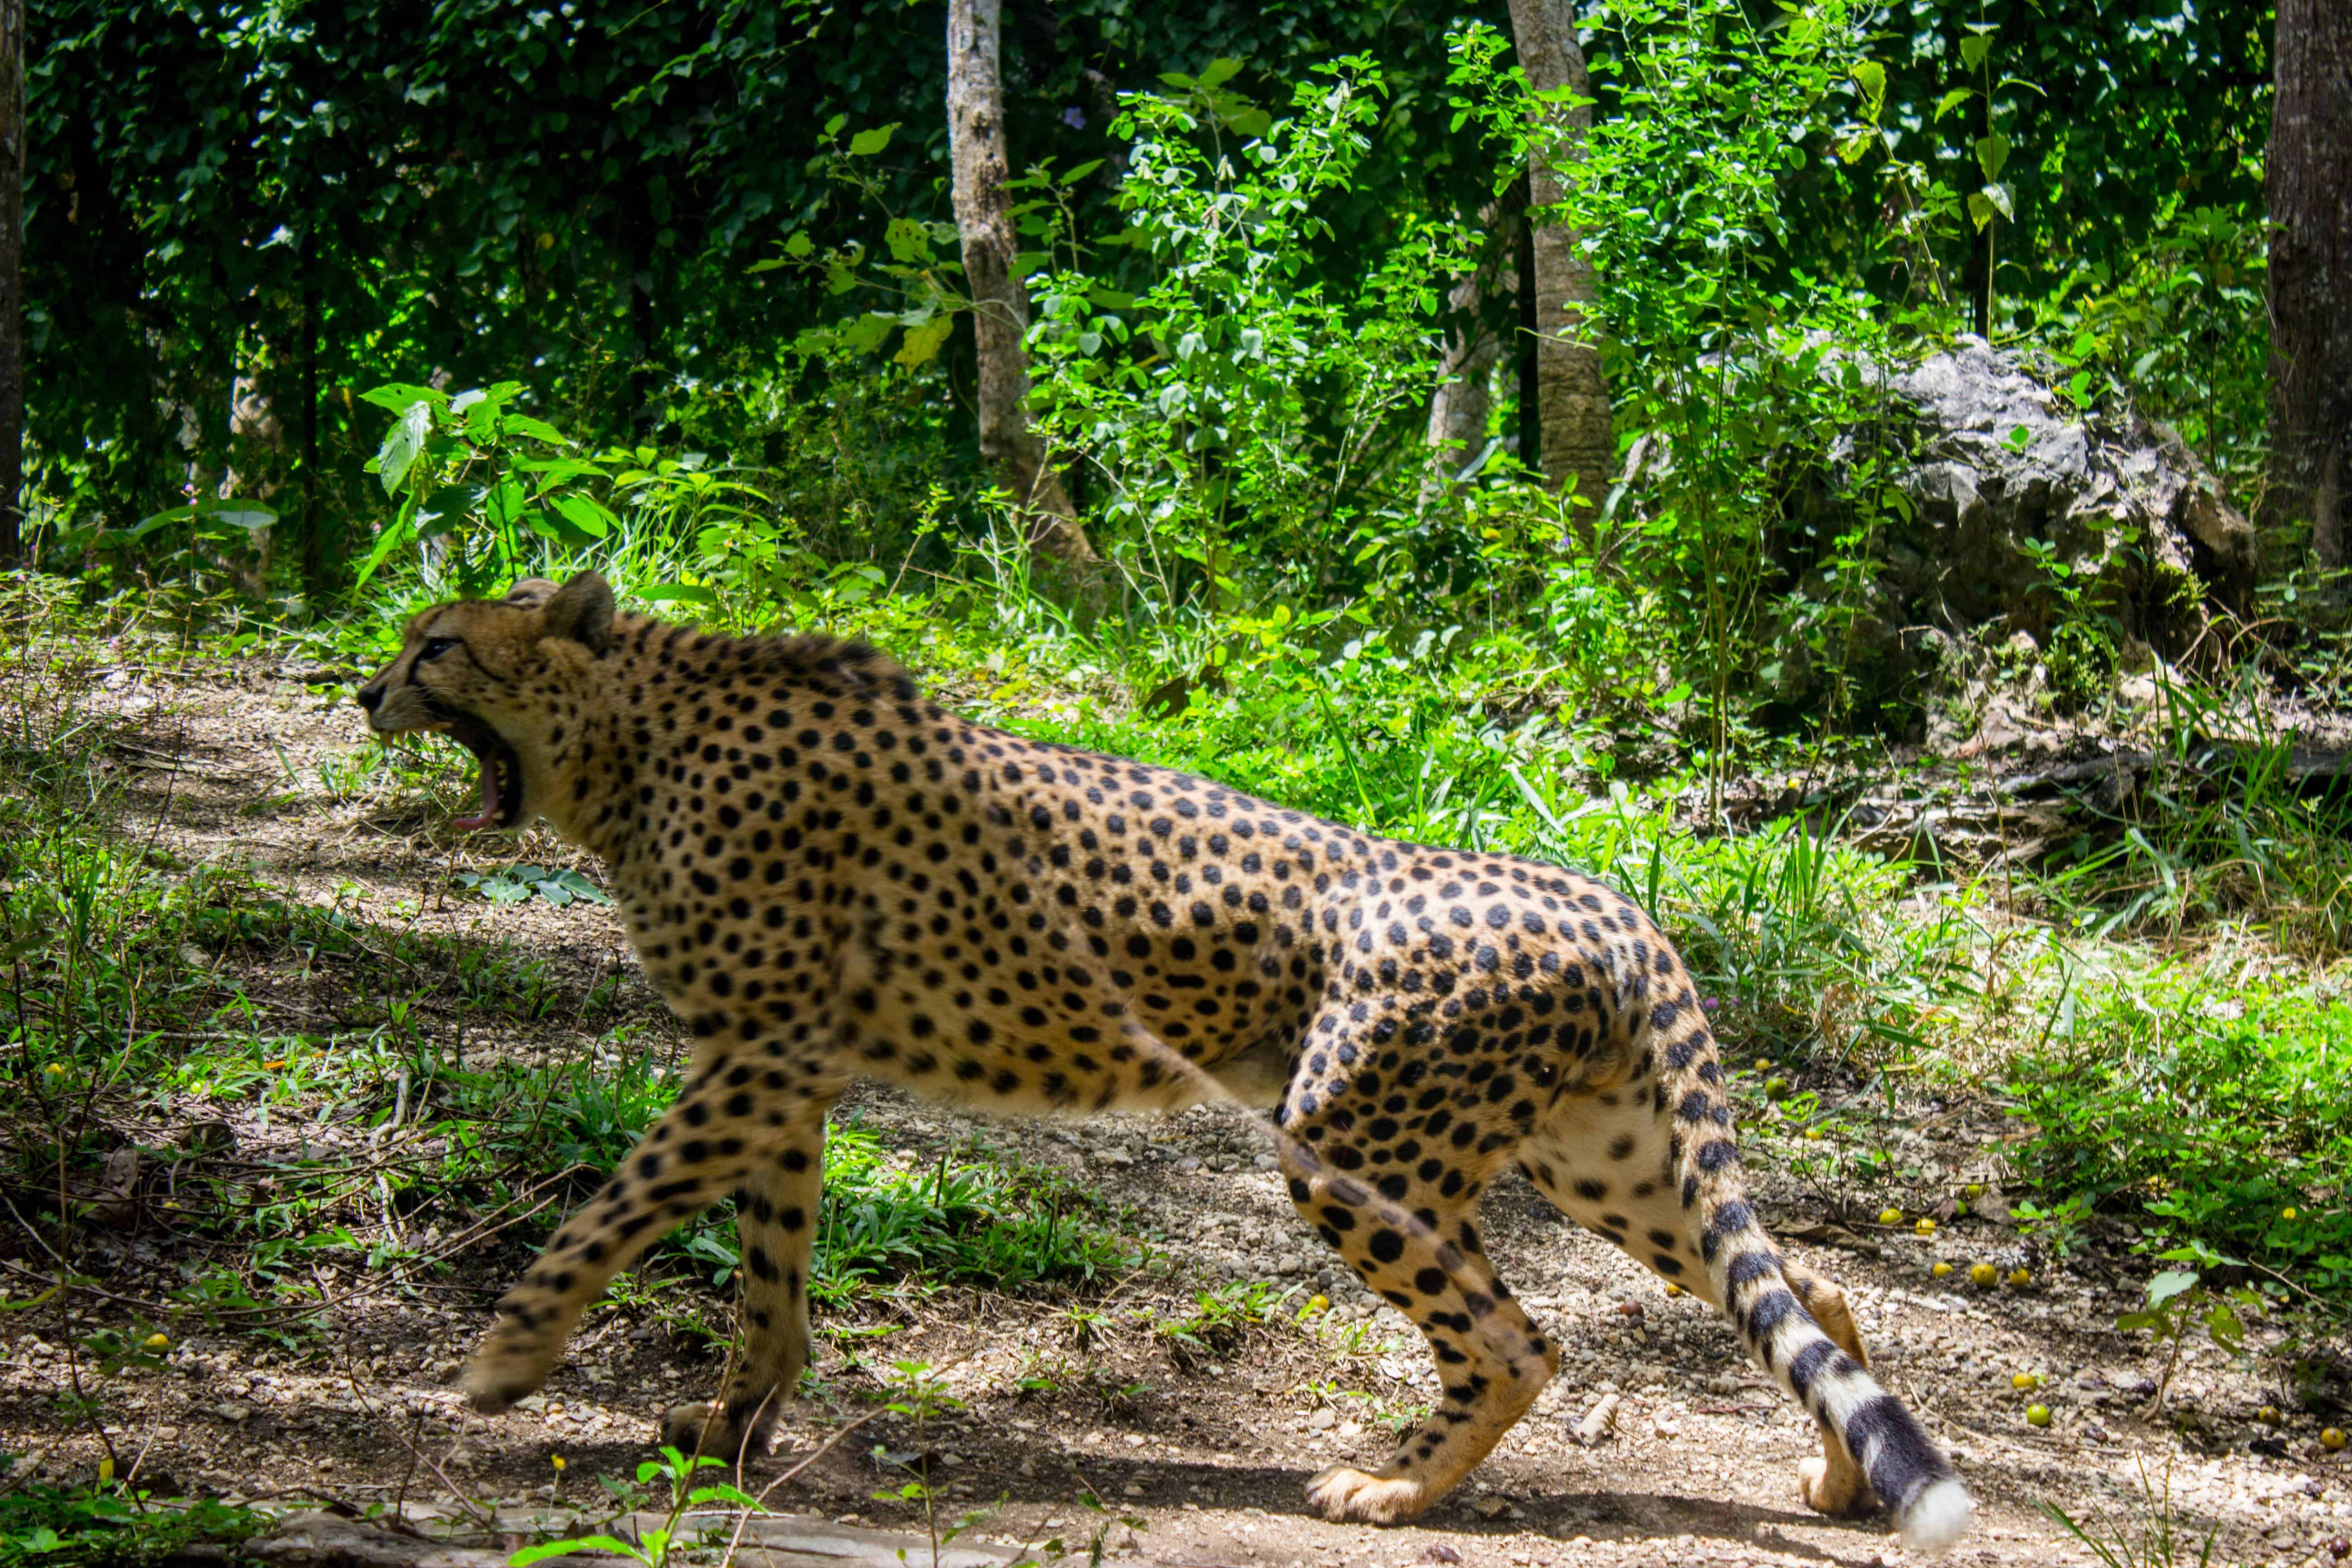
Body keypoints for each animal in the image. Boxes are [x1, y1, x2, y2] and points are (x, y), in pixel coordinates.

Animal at [348, 576, 1966, 1561]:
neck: (638, 738)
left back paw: (1392, 1485)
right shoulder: (785, 1073)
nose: (368, 694)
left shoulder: (755, 1054)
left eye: (441, 647)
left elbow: (616, 1207)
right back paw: (1841, 1480)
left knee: (1517, 1339)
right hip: (1603, 1156)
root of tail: (1610, 896)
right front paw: (733, 1426)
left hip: (1354, 1146)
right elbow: (770, 1270)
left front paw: (509, 1357)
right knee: (1806, 1292)